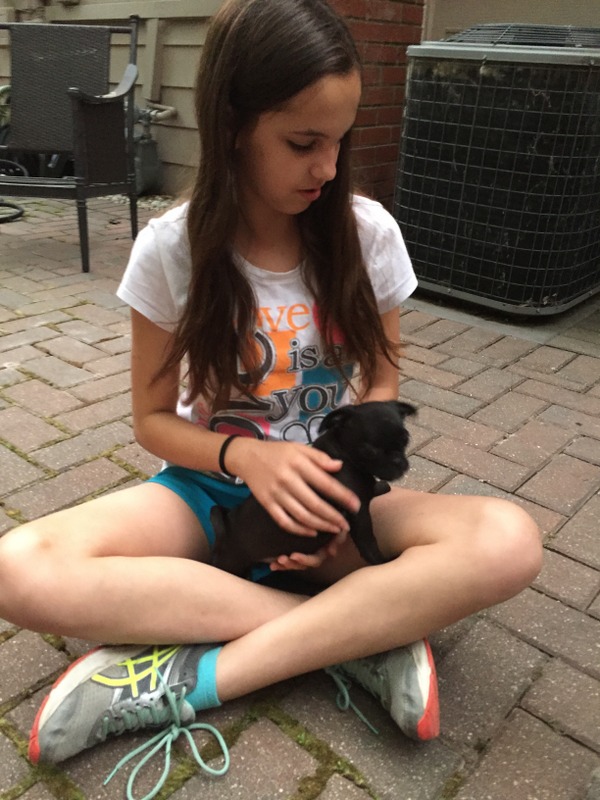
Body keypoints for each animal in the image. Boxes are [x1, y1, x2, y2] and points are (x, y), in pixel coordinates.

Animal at [210, 400, 416, 577]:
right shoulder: (359, 514)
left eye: (406, 440)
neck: (343, 453)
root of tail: (225, 532)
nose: (399, 462)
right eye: (370, 452)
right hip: (231, 564)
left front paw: (380, 486)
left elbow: (371, 487)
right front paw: (383, 563)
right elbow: (368, 542)